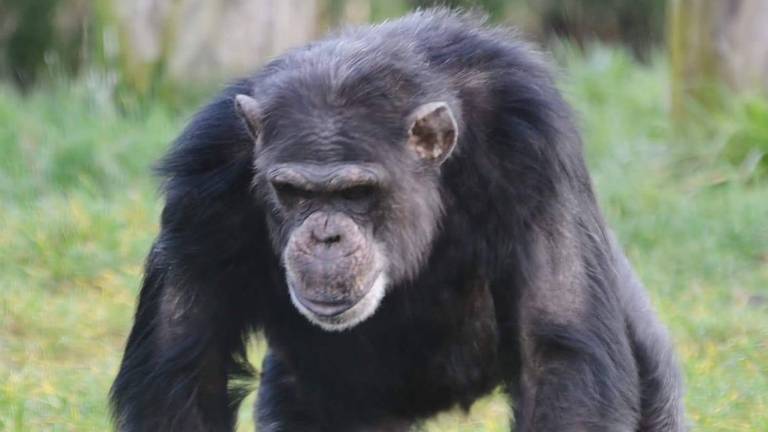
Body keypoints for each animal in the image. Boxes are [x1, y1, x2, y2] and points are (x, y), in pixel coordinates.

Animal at [109, 7, 684, 432]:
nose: (325, 235)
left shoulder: (533, 146)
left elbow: (558, 352)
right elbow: (185, 372)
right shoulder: (204, 184)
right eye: (291, 192)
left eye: (358, 192)